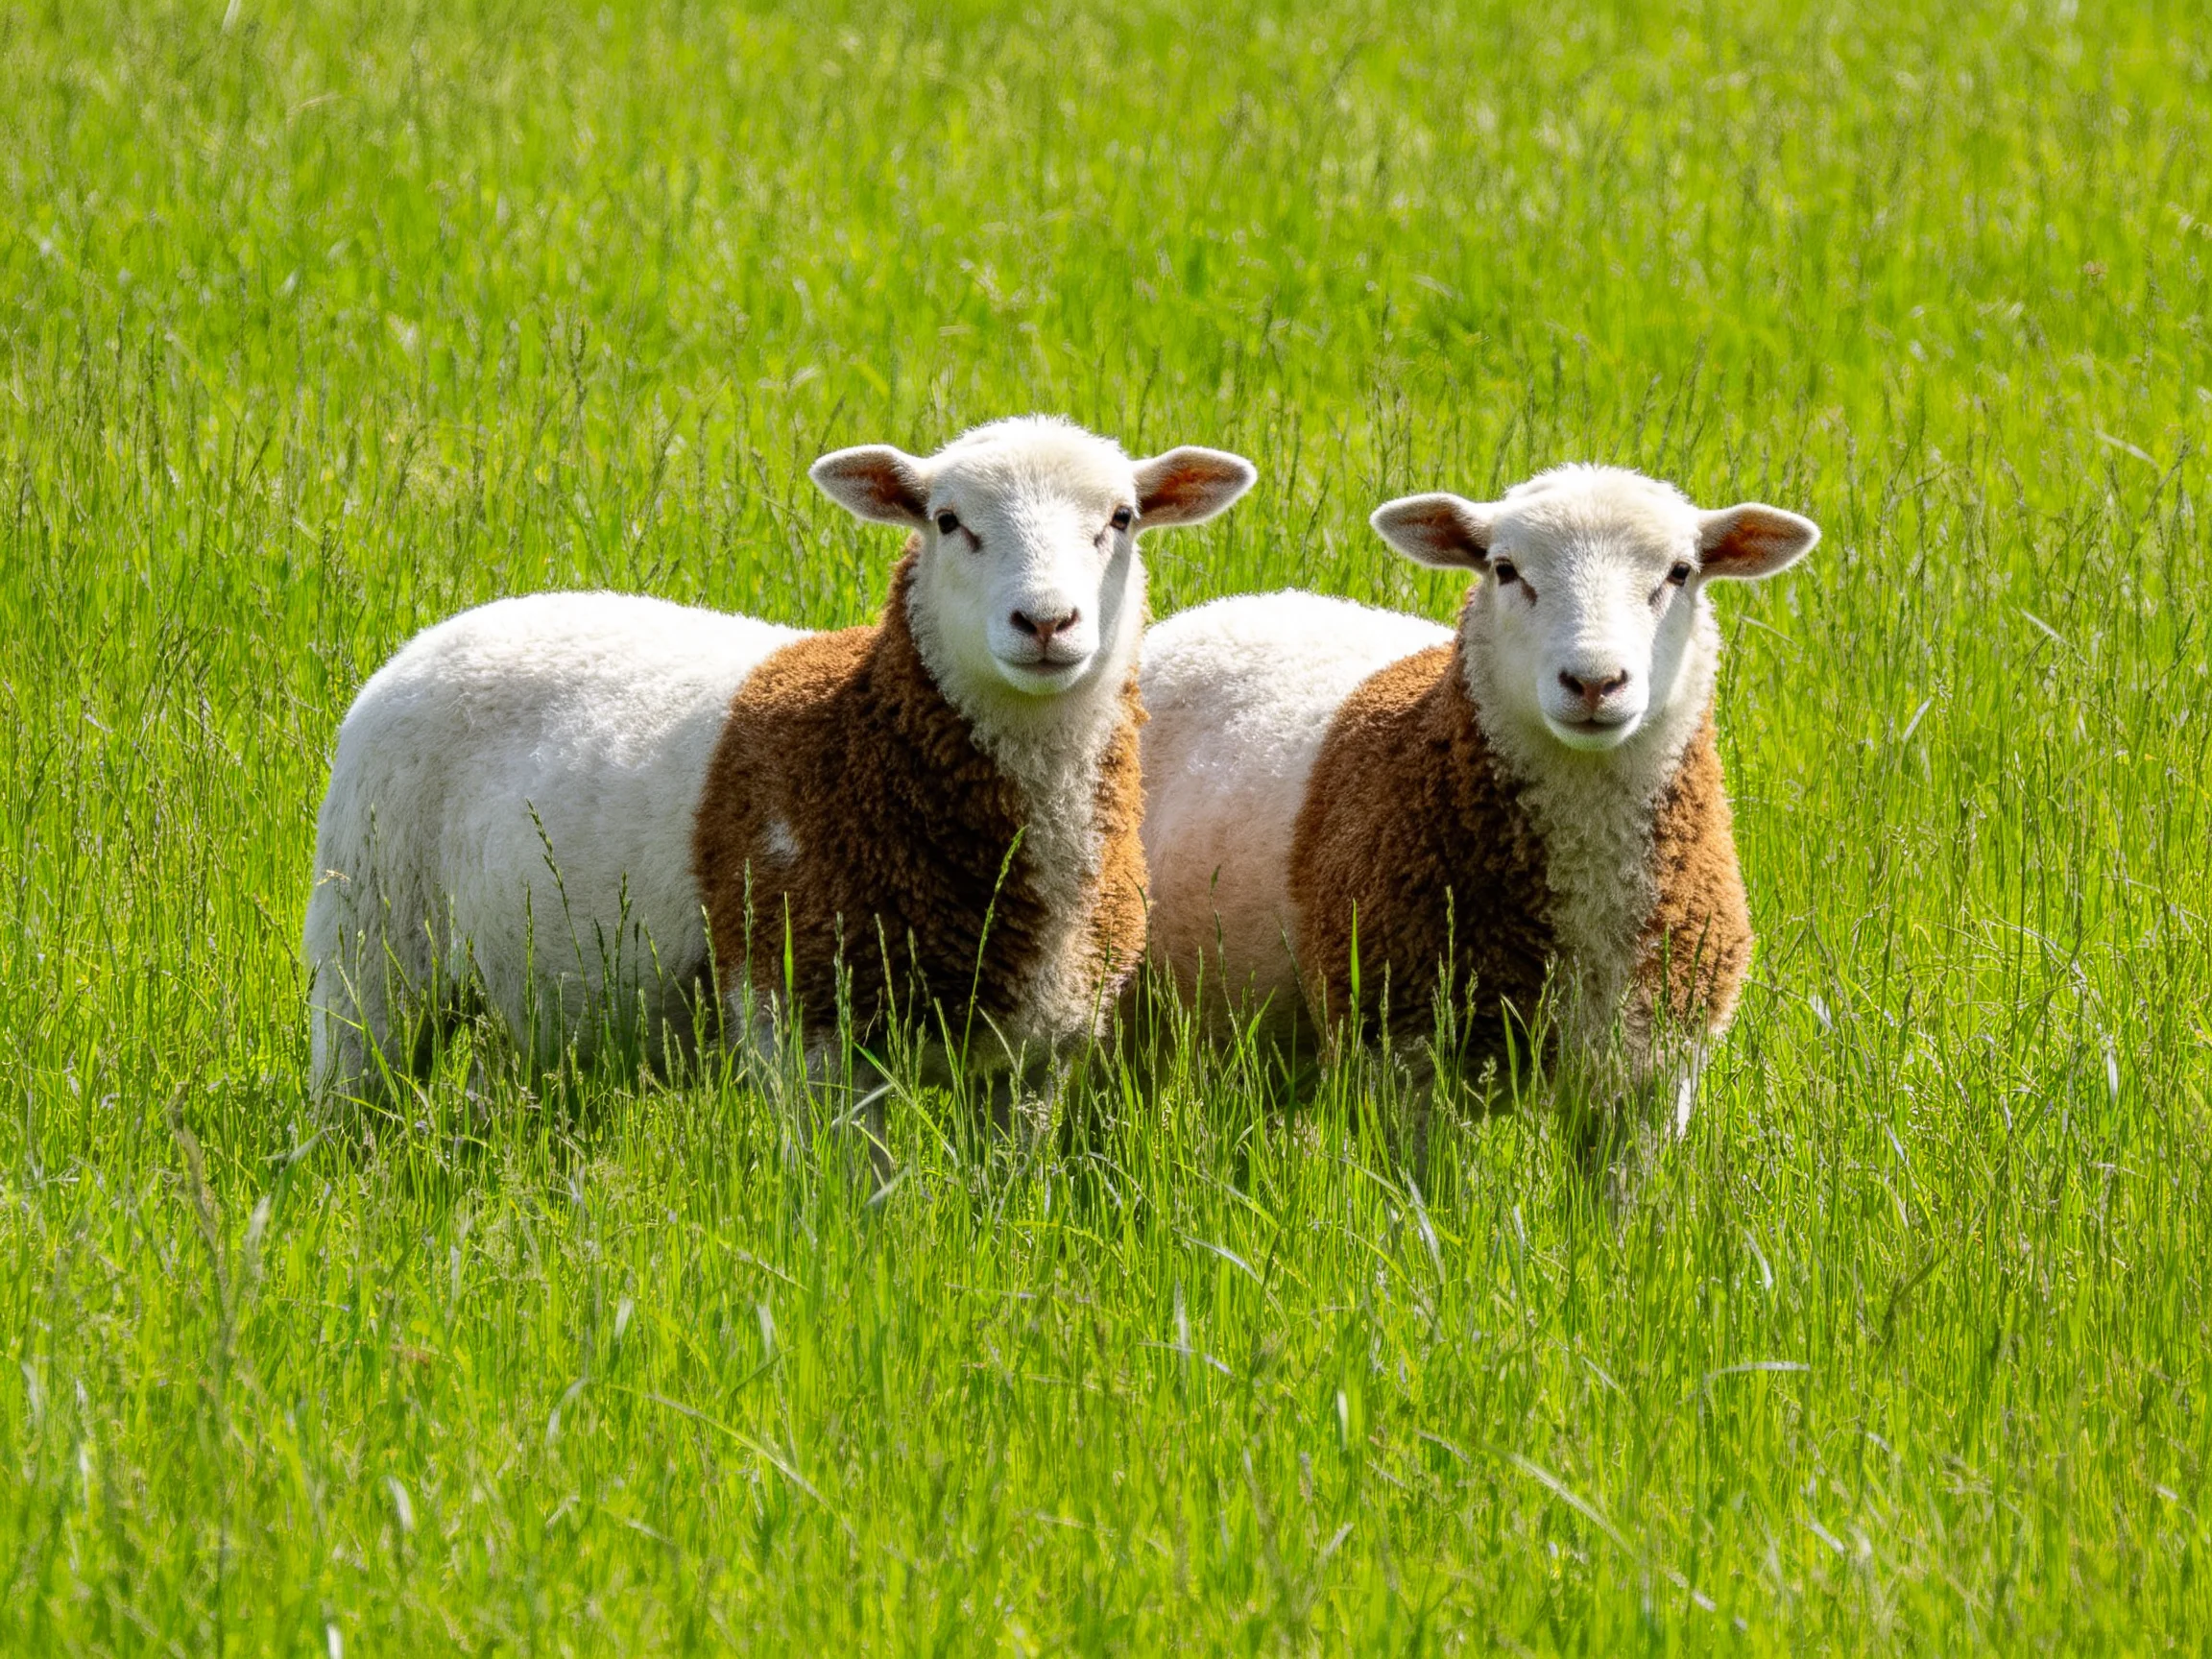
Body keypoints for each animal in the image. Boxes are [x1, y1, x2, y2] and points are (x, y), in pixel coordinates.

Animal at [306, 416, 1256, 1149]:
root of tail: (450, 628)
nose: (1047, 623)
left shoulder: (1033, 1060)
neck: (866, 736)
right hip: (370, 945)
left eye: (1122, 518)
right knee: (350, 1093)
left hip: (534, 988)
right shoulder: (806, 1029)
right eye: (948, 521)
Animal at [1138, 463, 1817, 1139]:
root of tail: (1229, 607)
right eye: (1505, 569)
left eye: (1680, 572)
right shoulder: (1403, 1060)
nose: (1594, 682)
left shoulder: (1650, 1074)